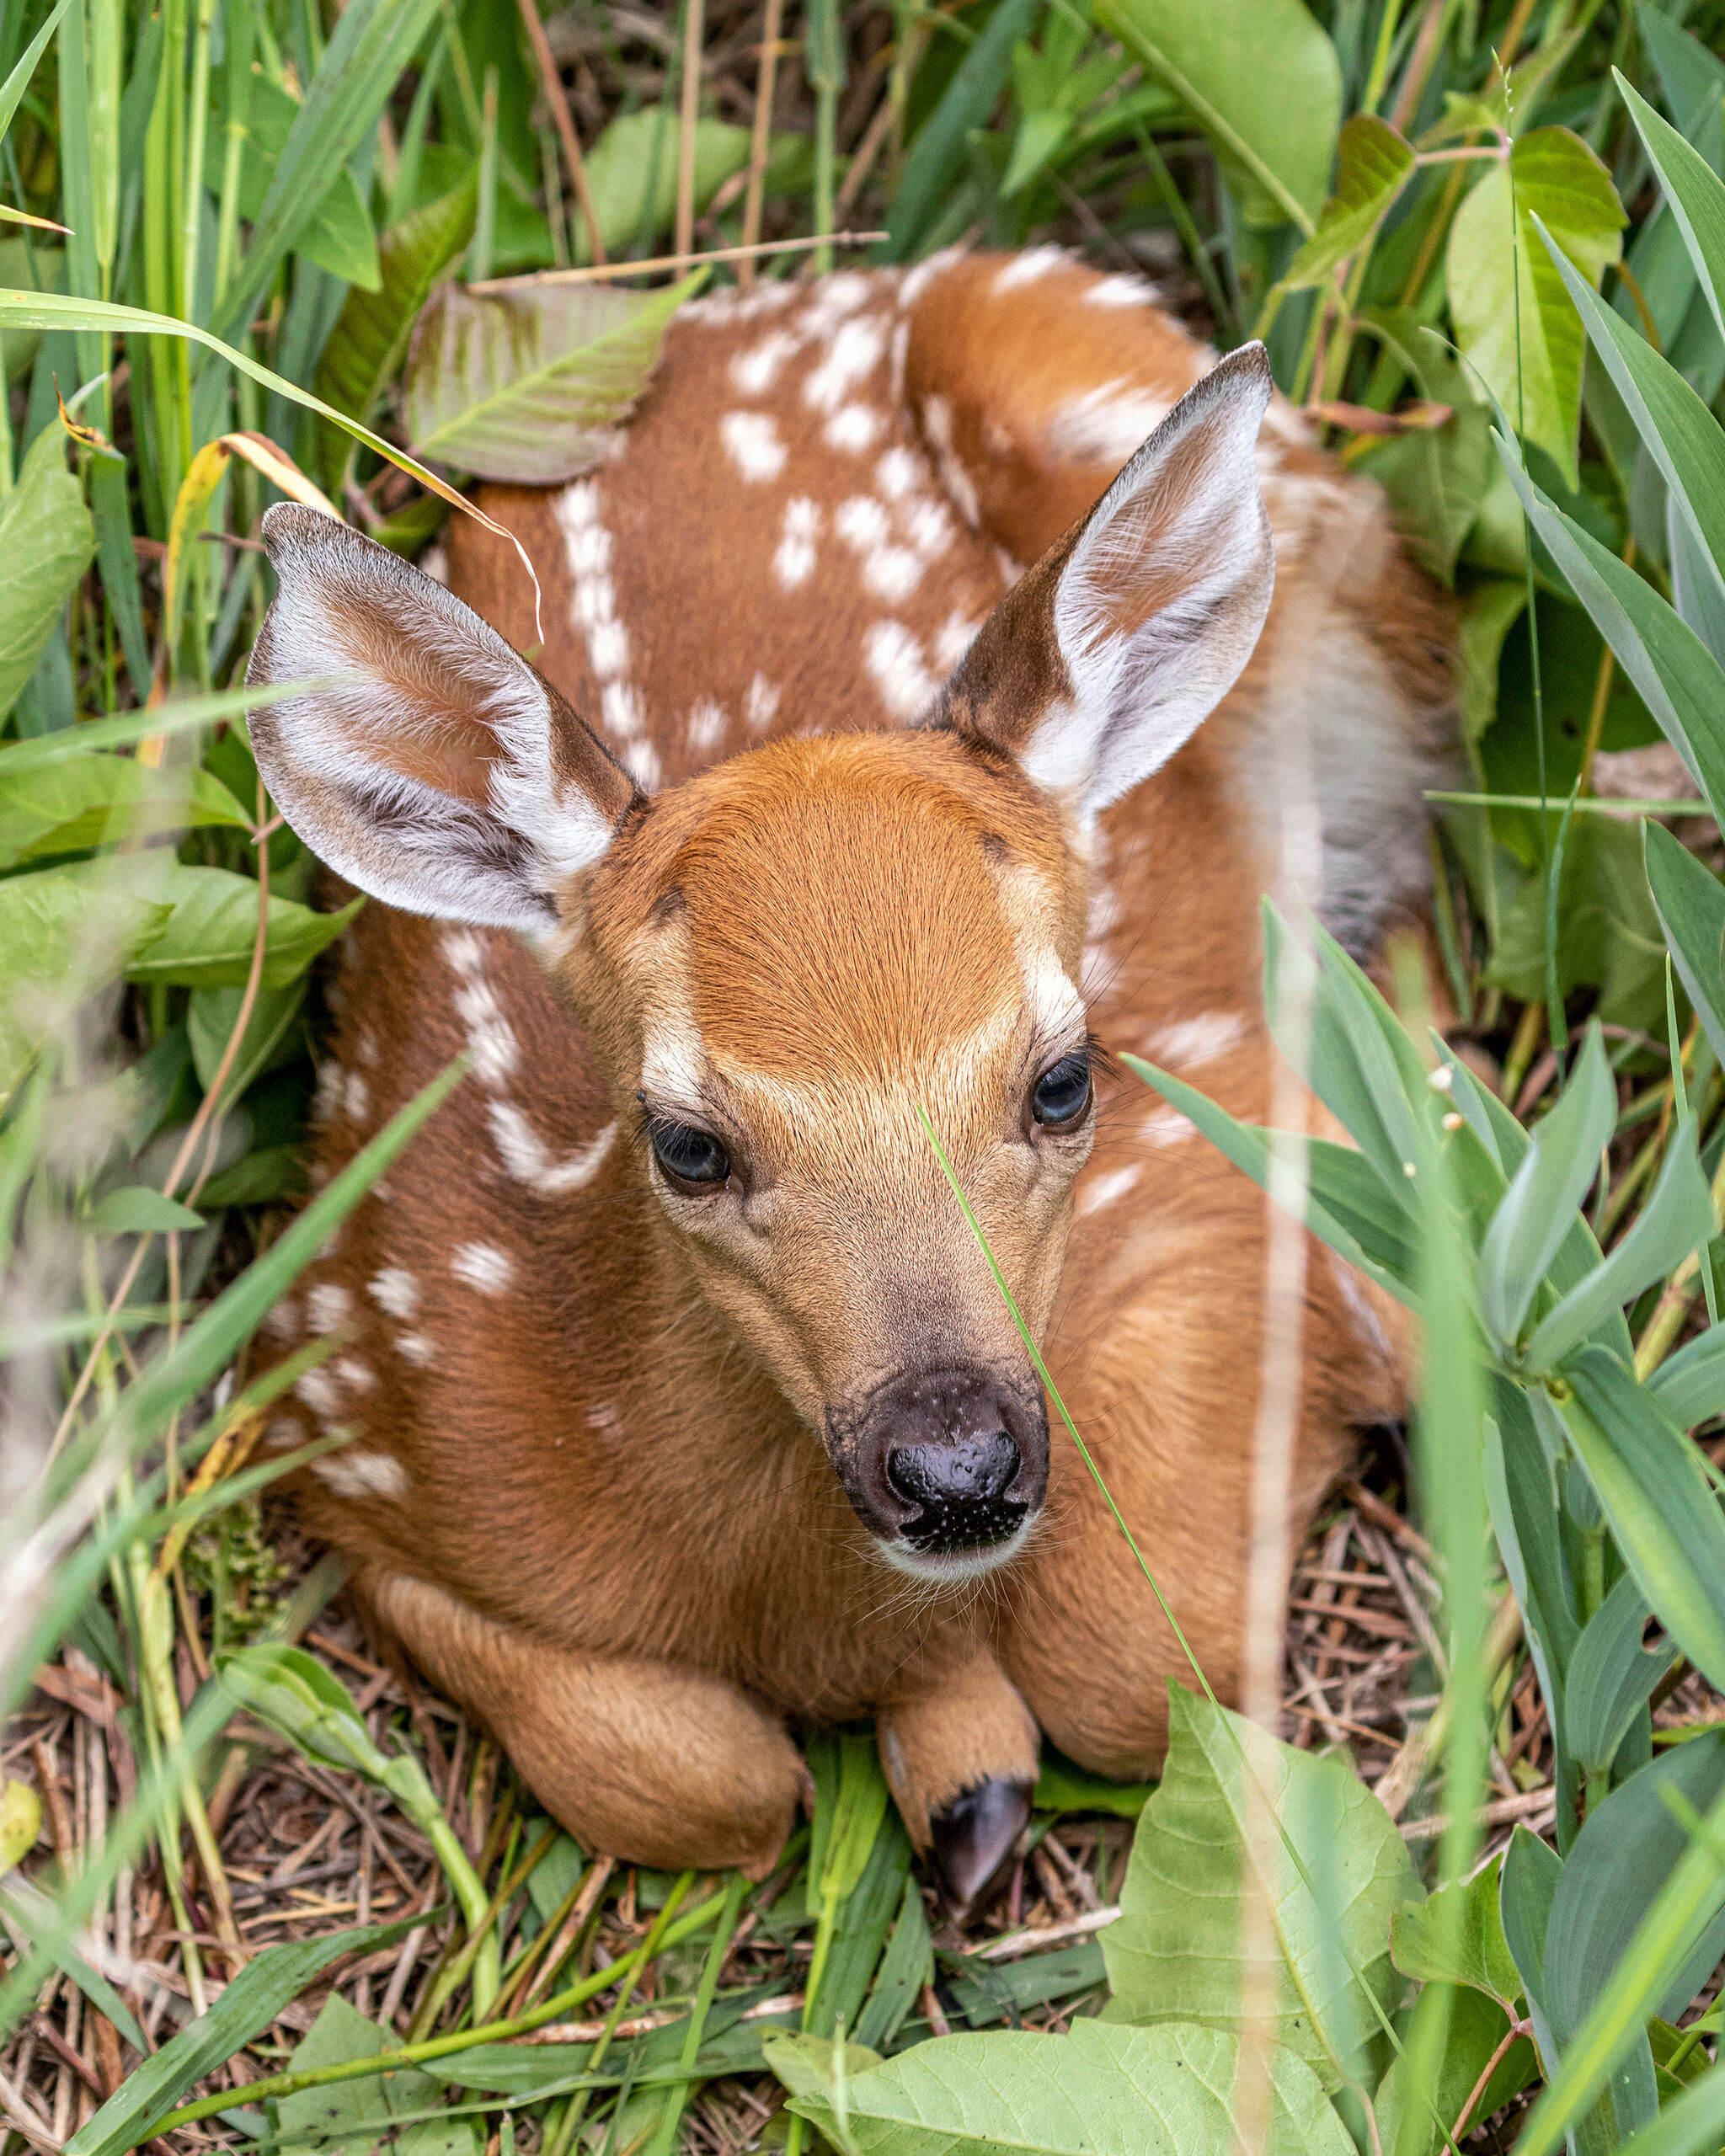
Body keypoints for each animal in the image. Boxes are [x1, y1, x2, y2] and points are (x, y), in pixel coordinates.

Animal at [246, 246, 1455, 1909]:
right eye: (686, 1143)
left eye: (1064, 1080)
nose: (954, 1467)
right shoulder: (345, 1396)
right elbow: (704, 1778)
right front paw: (959, 1766)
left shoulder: (1205, 1172)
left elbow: (1133, 1664)